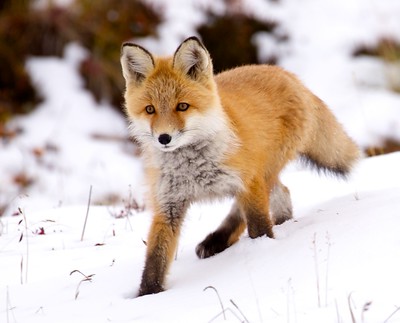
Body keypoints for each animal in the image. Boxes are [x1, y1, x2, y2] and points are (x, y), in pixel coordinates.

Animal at [119, 36, 360, 298]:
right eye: (150, 109)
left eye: (182, 106)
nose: (164, 138)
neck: (193, 169)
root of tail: (284, 73)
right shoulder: (168, 204)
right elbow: (155, 257)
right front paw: (148, 294)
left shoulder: (248, 181)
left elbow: (258, 224)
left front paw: (265, 251)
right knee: (282, 193)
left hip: (263, 171)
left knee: (261, 202)